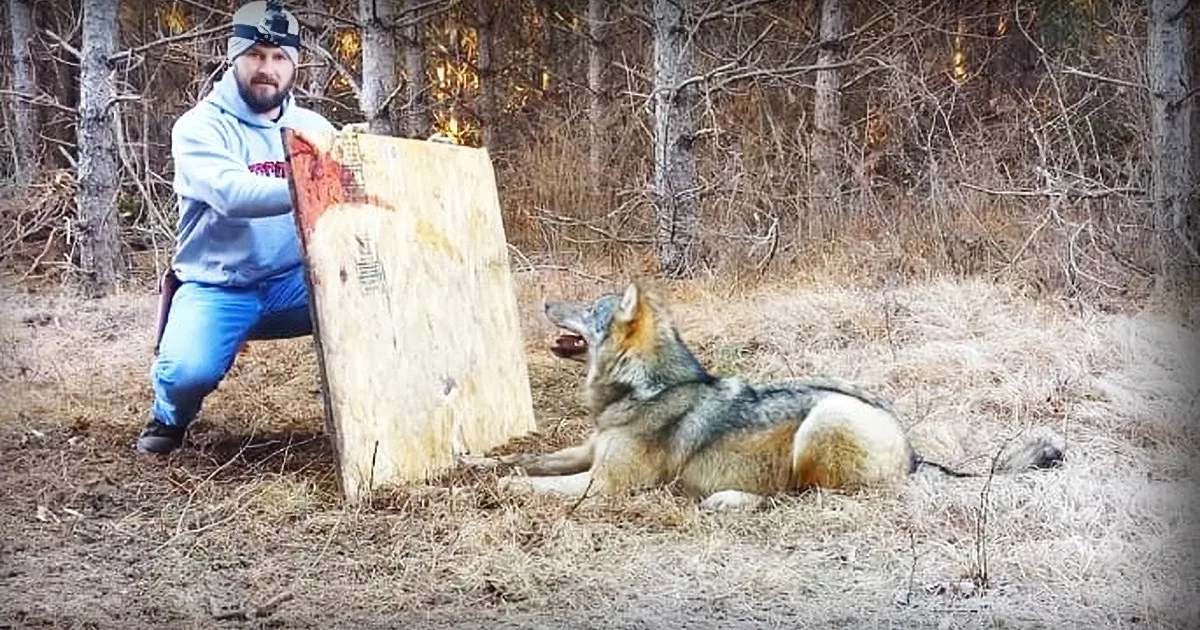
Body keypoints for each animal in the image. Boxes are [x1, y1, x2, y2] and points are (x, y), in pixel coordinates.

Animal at [491, 281, 1064, 511]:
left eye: (590, 308)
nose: (544, 301)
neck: (647, 388)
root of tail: (914, 452)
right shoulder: (586, 452)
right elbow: (527, 460)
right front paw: (484, 464)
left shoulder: (605, 485)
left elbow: (535, 486)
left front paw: (505, 488)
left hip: (821, 423)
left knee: (797, 496)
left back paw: (731, 500)